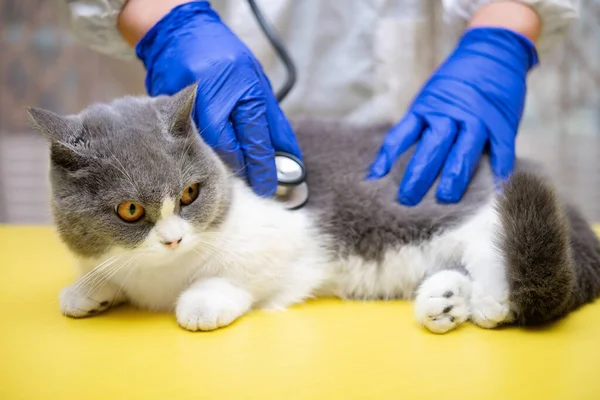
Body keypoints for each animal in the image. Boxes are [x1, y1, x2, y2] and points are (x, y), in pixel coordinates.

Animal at [27, 85, 600, 334]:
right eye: (129, 210)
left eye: (189, 194)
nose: (173, 239)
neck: (158, 276)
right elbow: (100, 276)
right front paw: (89, 291)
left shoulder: (283, 238)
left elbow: (235, 276)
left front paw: (203, 301)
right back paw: (444, 301)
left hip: (473, 215)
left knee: (496, 261)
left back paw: (484, 302)